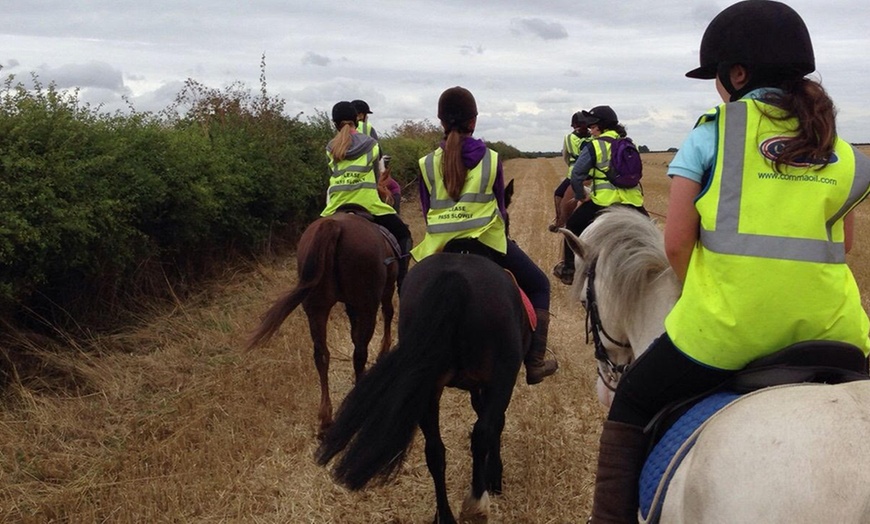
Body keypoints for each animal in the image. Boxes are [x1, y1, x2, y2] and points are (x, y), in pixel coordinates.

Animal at [247, 211, 400, 436]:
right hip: (367, 305)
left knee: (322, 355)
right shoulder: (383, 291)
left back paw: (325, 418)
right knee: (360, 352)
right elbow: (386, 315)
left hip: (316, 309)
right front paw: (384, 349)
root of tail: (333, 227)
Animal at [314, 247, 532, 524]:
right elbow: (495, 424)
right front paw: (495, 475)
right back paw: (475, 505)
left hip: (427, 388)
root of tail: (454, 279)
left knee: (435, 451)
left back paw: (445, 515)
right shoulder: (497, 382)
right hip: (499, 376)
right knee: (480, 433)